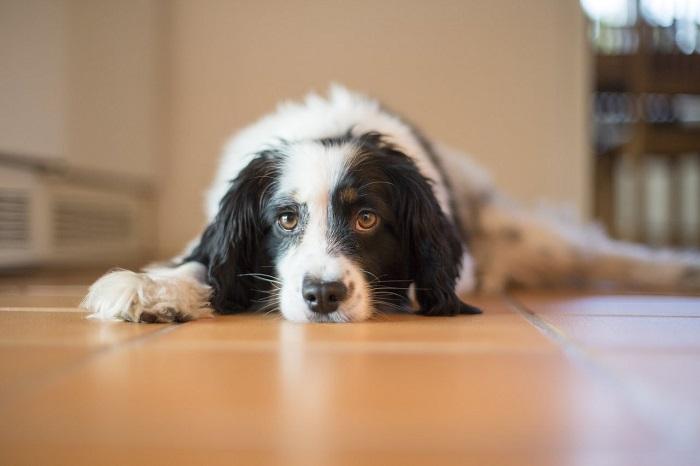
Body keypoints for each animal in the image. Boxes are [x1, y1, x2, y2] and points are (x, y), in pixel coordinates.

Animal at [83, 85, 700, 322]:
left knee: (605, 254)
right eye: (285, 219)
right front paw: (151, 288)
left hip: (534, 238)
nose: (323, 295)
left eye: (366, 218)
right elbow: (201, 263)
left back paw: (678, 271)